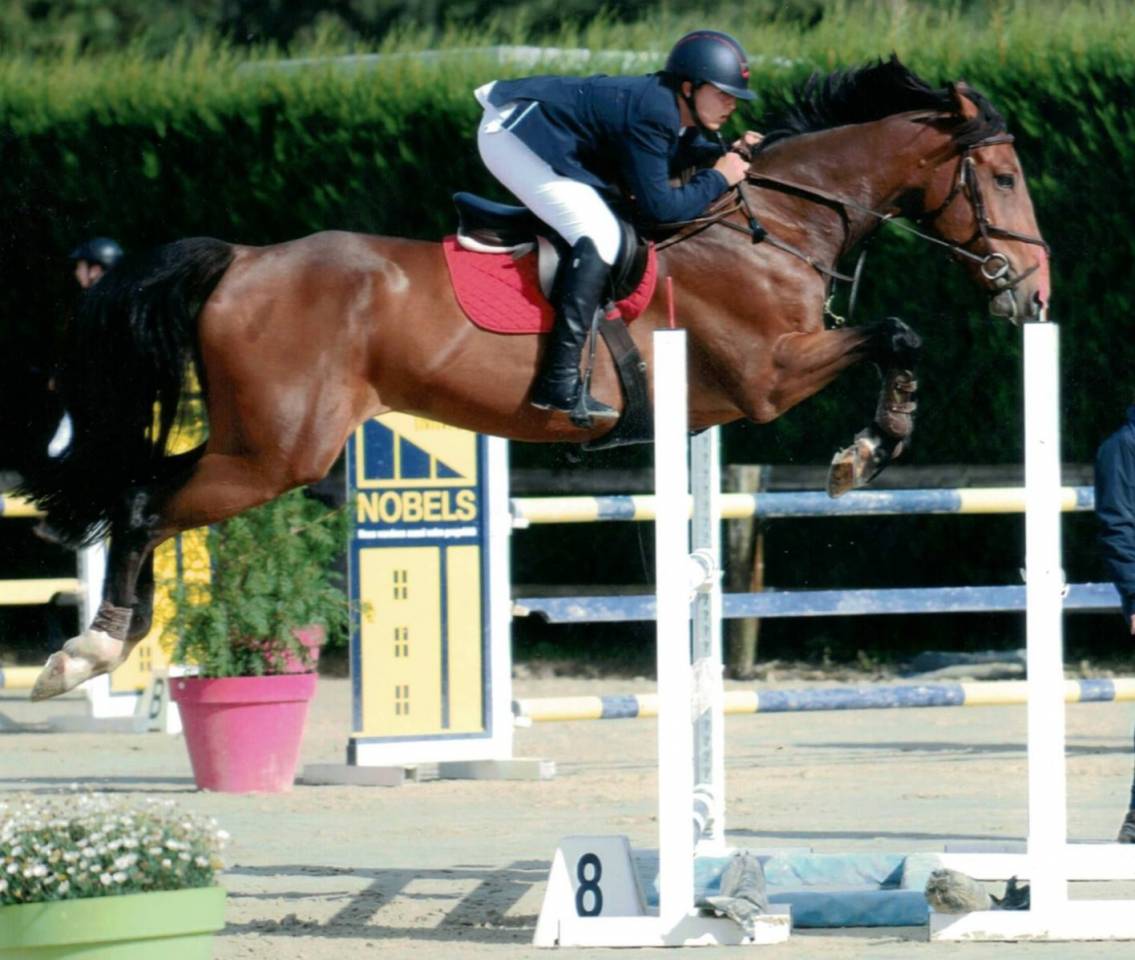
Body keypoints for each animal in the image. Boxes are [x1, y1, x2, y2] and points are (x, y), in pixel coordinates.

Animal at [20, 56, 1048, 700]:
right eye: (999, 179)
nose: (1031, 294)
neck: (773, 223)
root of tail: (238, 261)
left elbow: (894, 337)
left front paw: (872, 445)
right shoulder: (766, 376)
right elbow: (898, 336)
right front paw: (866, 451)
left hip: (258, 445)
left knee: (141, 494)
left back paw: (115, 640)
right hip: (274, 453)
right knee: (144, 500)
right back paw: (90, 649)